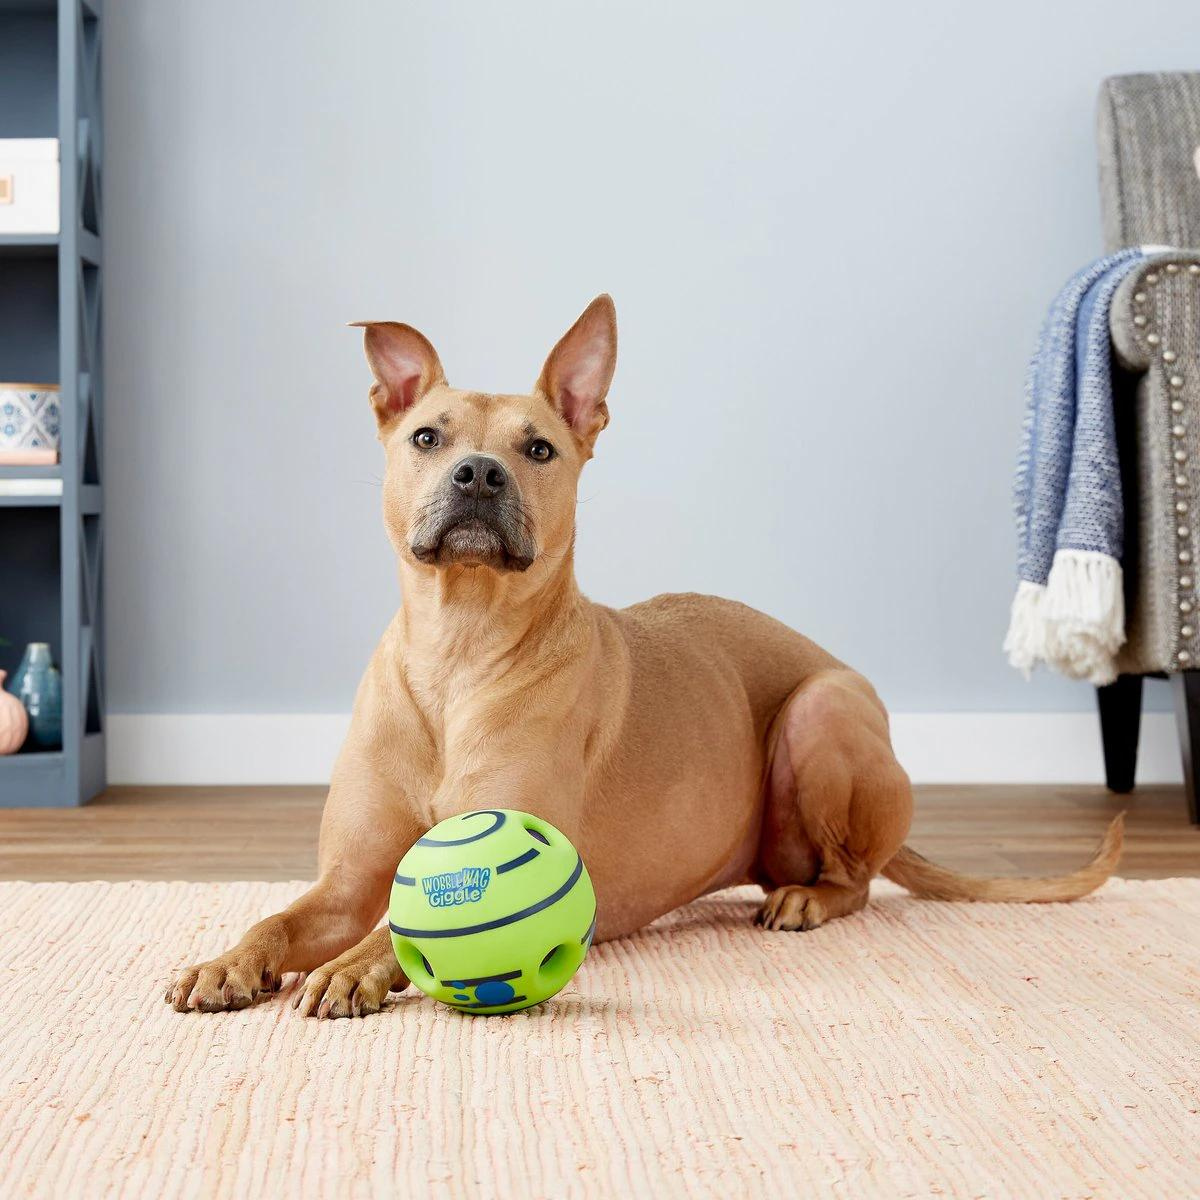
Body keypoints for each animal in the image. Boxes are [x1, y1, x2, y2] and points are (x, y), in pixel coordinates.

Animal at [169, 295, 1123, 1017]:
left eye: (538, 448)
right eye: (428, 438)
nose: (478, 473)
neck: (458, 651)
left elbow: (391, 935)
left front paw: (349, 969)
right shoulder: (347, 877)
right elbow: (280, 919)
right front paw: (228, 959)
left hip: (819, 712)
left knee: (855, 879)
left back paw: (808, 899)